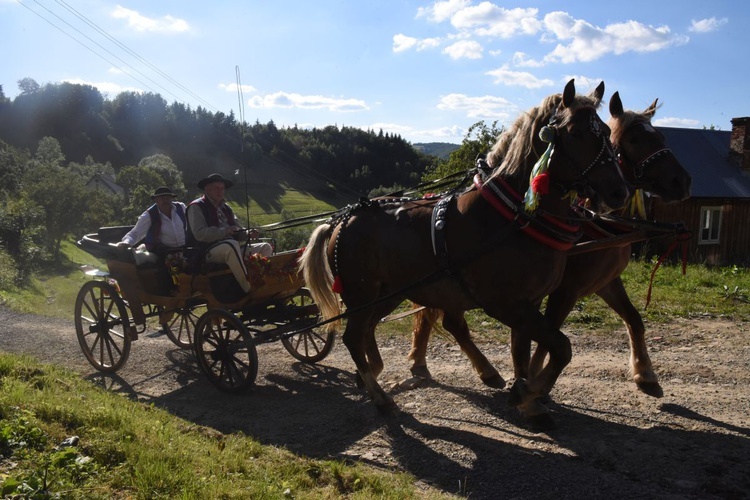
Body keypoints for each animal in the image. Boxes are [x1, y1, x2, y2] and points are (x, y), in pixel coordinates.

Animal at [300, 78, 628, 426]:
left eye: (606, 132)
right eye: (577, 133)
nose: (619, 192)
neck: (511, 216)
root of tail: (342, 219)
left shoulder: (530, 302)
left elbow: (523, 350)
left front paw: (527, 398)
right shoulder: (504, 303)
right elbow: (562, 347)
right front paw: (528, 393)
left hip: (386, 294)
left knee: (366, 331)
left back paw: (373, 372)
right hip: (362, 295)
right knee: (353, 336)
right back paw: (380, 397)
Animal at [412, 91, 692, 402]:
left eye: (661, 136)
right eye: (635, 140)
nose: (682, 181)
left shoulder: (606, 282)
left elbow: (634, 320)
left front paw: (645, 374)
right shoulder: (564, 289)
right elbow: (548, 334)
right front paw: (534, 382)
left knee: (445, 318)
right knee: (447, 320)